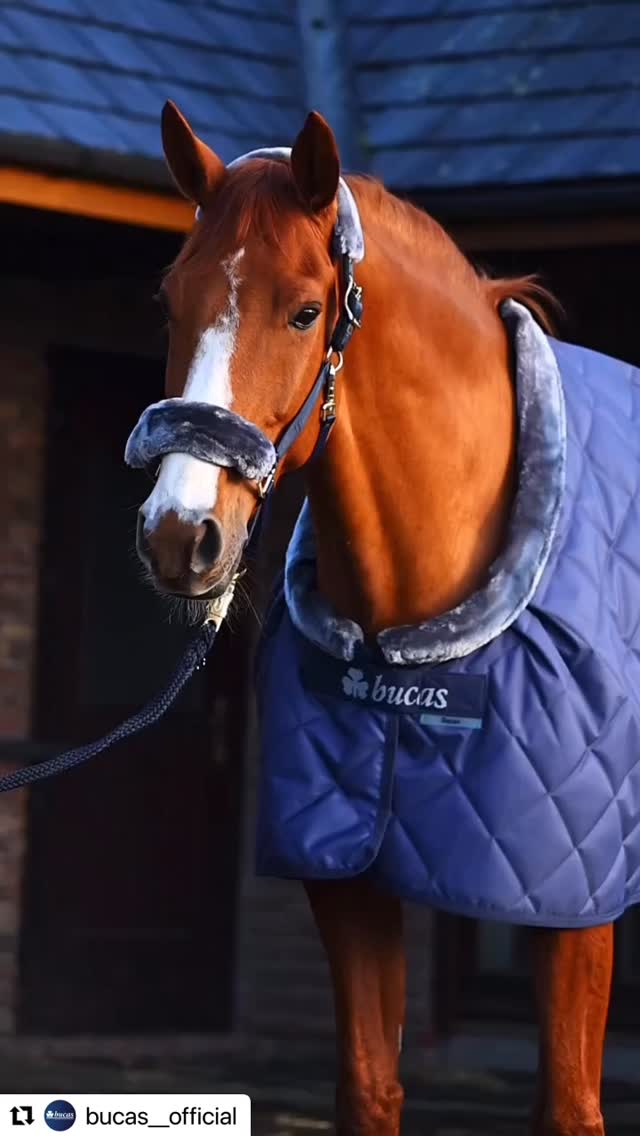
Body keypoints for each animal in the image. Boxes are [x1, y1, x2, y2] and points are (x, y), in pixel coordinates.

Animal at [129, 100, 634, 1136]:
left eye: (303, 310)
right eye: (169, 301)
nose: (180, 534)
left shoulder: (573, 905)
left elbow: (570, 1101)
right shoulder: (349, 883)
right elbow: (370, 1083)